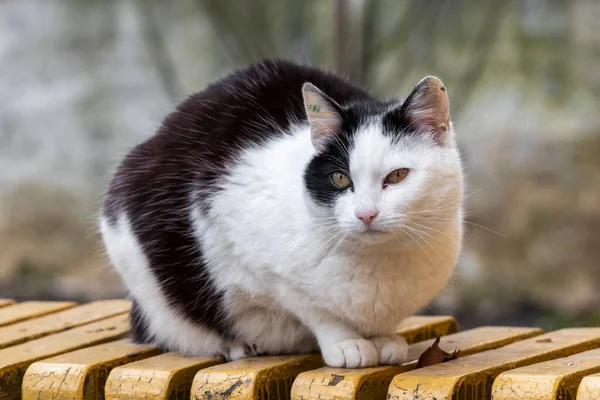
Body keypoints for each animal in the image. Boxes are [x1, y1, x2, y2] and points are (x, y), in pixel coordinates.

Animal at [99, 59, 464, 368]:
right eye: (340, 179)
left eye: (398, 176)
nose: (366, 214)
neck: (379, 263)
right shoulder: (260, 262)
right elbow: (318, 312)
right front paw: (346, 343)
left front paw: (383, 339)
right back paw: (235, 346)